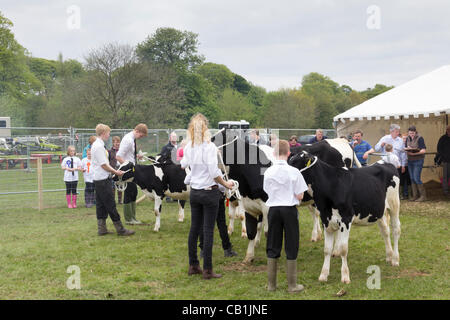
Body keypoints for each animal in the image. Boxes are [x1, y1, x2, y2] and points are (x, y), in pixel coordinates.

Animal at [290, 151, 402, 284]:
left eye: (295, 163)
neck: (332, 185)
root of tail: (384, 162)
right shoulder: (326, 220)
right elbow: (327, 249)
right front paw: (323, 275)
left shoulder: (346, 219)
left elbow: (343, 249)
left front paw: (345, 276)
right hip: (379, 211)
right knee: (385, 231)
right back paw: (389, 256)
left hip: (394, 204)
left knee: (395, 230)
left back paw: (395, 259)